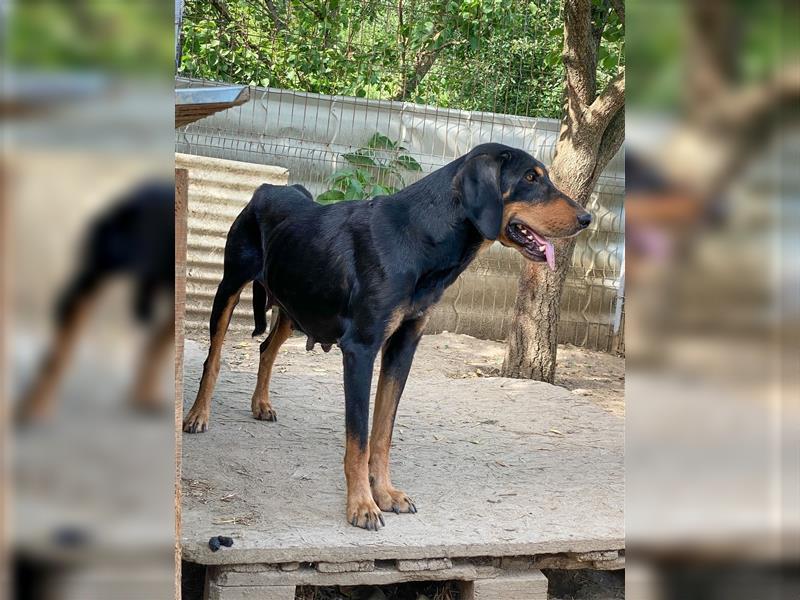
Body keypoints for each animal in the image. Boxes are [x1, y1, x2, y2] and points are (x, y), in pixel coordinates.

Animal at [184, 144, 592, 528]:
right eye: (530, 178)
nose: (587, 219)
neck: (417, 236)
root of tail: (269, 187)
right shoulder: (361, 349)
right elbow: (359, 438)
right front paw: (362, 505)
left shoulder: (403, 345)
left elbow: (382, 433)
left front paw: (384, 493)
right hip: (230, 287)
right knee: (213, 357)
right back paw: (198, 415)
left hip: (295, 306)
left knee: (267, 348)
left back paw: (261, 404)